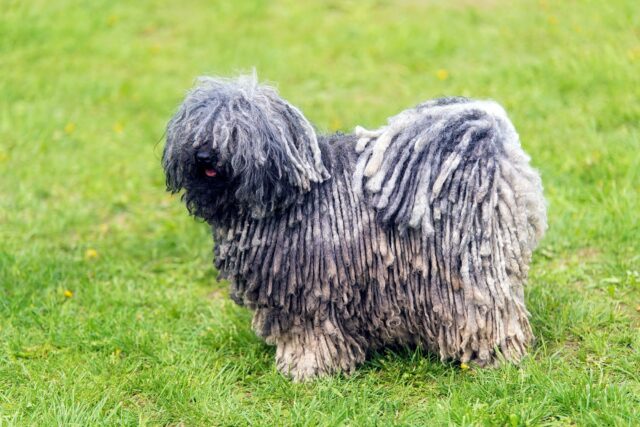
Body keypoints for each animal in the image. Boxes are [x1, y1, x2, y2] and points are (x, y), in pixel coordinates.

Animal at [162, 74, 548, 382]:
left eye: (236, 128)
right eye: (197, 126)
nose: (204, 155)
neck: (295, 190)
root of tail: (490, 145)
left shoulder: (312, 289)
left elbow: (311, 335)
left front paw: (306, 370)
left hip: (468, 268)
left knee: (489, 311)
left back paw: (493, 357)